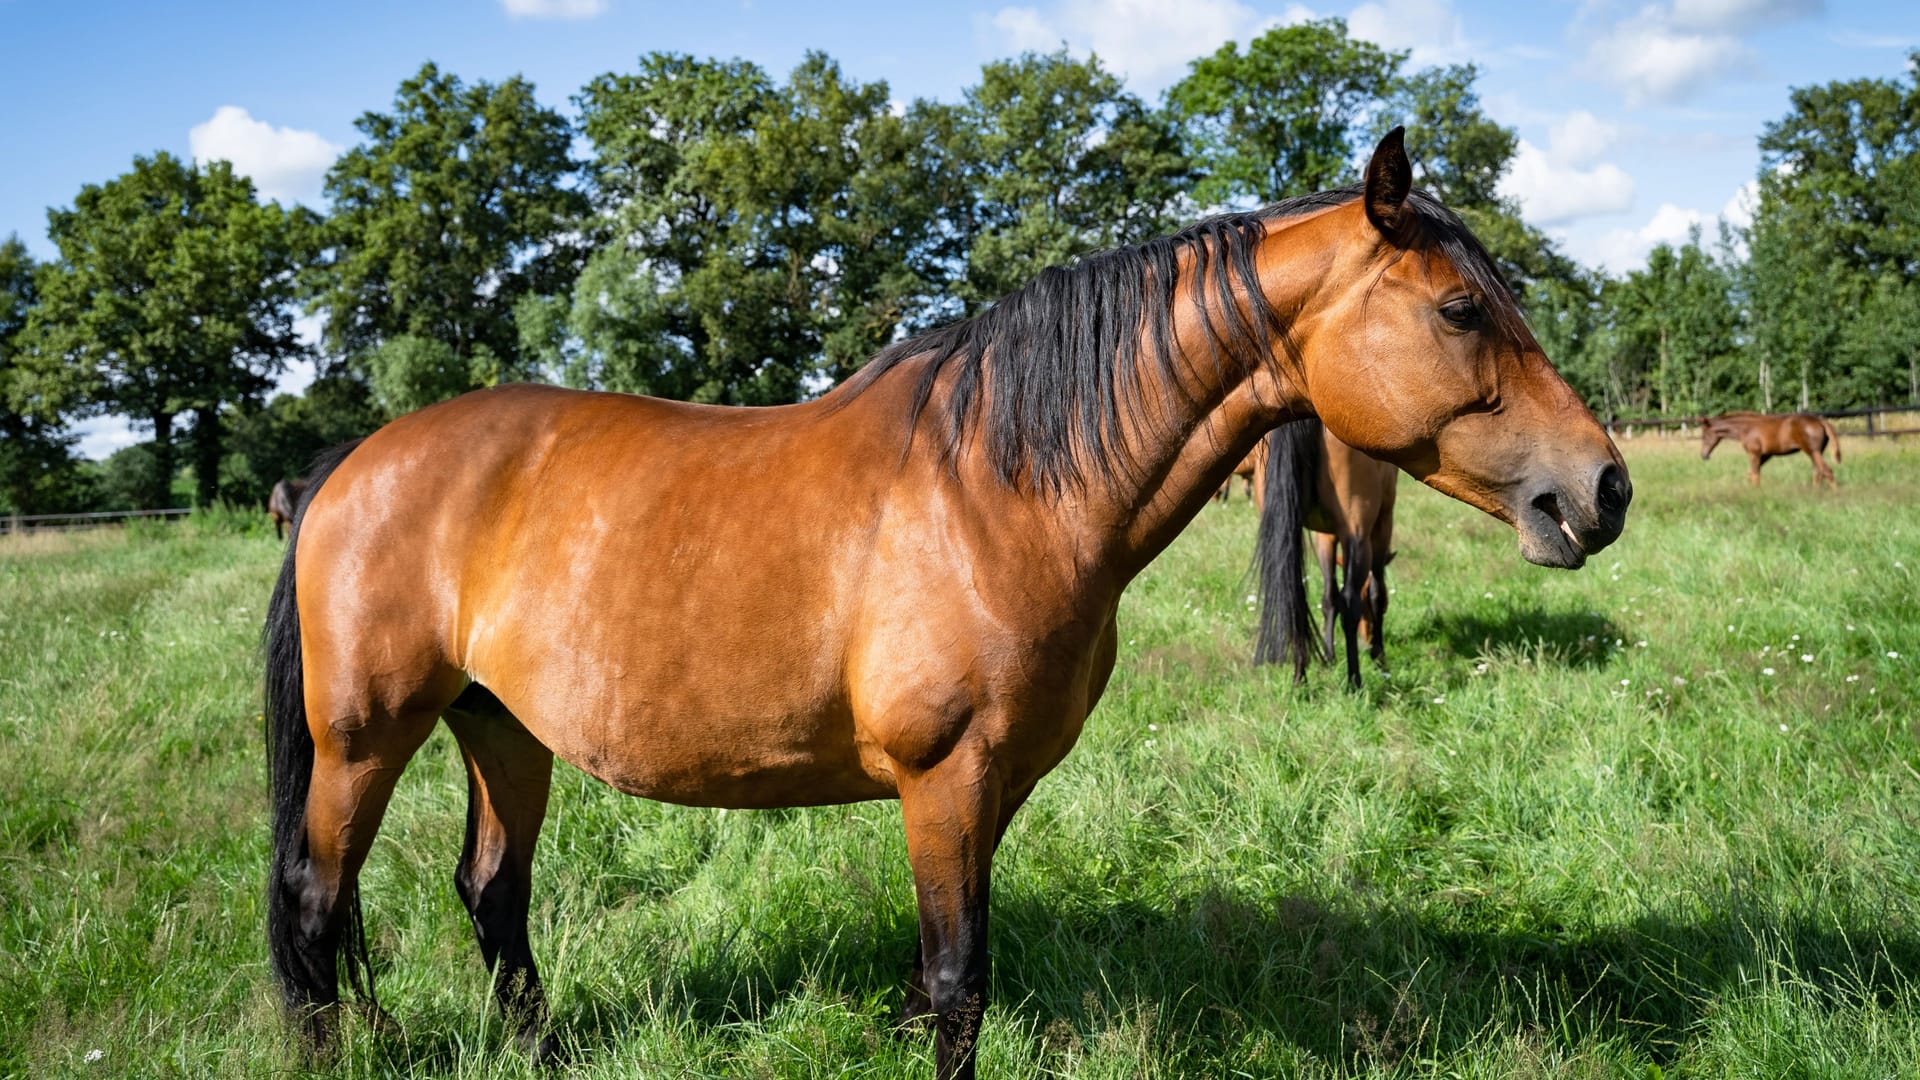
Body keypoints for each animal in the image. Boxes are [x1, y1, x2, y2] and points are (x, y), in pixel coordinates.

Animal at [1251, 417, 1405, 684]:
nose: (1366, 641)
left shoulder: (1326, 535)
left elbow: (1328, 597)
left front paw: (1330, 655)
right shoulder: (1382, 525)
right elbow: (1376, 593)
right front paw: (1379, 657)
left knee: (1295, 596)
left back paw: (1300, 677)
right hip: (1359, 535)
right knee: (1349, 601)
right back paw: (1354, 681)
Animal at [1712, 407, 1843, 484]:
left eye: (1707, 434)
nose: (1706, 454)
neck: (1747, 427)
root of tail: (1821, 420)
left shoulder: (1754, 453)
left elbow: (1754, 474)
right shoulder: (1765, 454)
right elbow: (1752, 473)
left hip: (1812, 451)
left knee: (1826, 471)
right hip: (1816, 452)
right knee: (1818, 472)